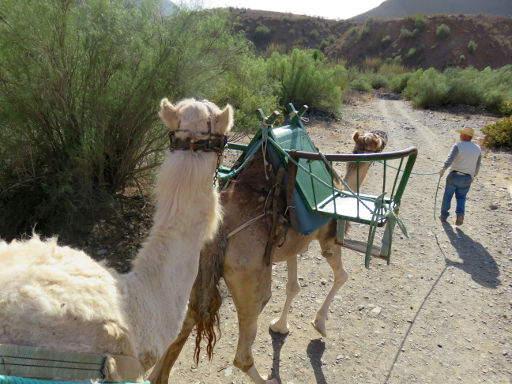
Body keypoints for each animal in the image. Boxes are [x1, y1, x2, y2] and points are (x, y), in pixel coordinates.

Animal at [148, 130, 388, 384]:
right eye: (377, 143)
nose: (383, 135)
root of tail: (217, 235)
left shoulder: (292, 245)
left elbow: (293, 287)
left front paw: (280, 326)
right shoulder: (328, 239)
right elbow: (342, 276)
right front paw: (320, 324)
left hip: (196, 270)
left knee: (188, 319)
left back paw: (157, 376)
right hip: (250, 279)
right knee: (242, 353)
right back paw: (266, 377)